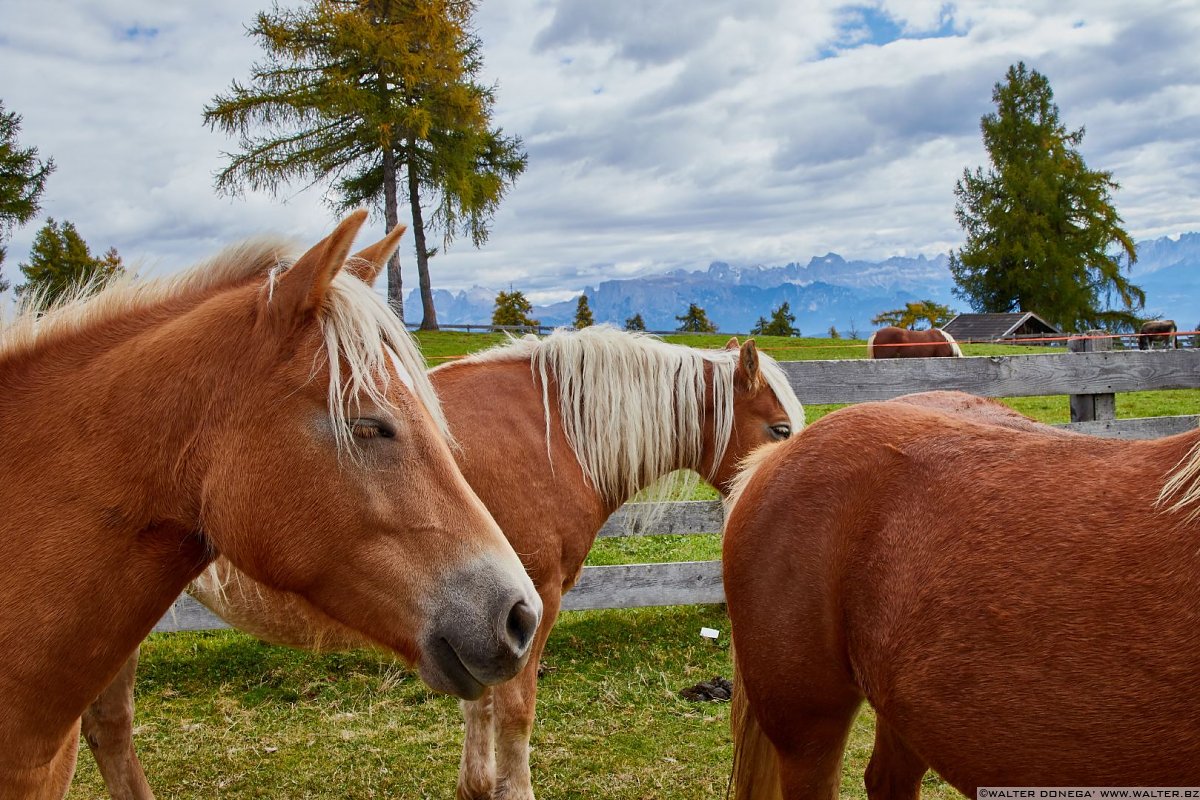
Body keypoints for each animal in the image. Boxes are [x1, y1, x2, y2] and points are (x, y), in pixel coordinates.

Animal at [79, 321, 801, 796]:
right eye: (780, 429)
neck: (551, 433)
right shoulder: (534, 598)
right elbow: (514, 710)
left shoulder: (484, 616)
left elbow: (480, 707)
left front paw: (476, 786)